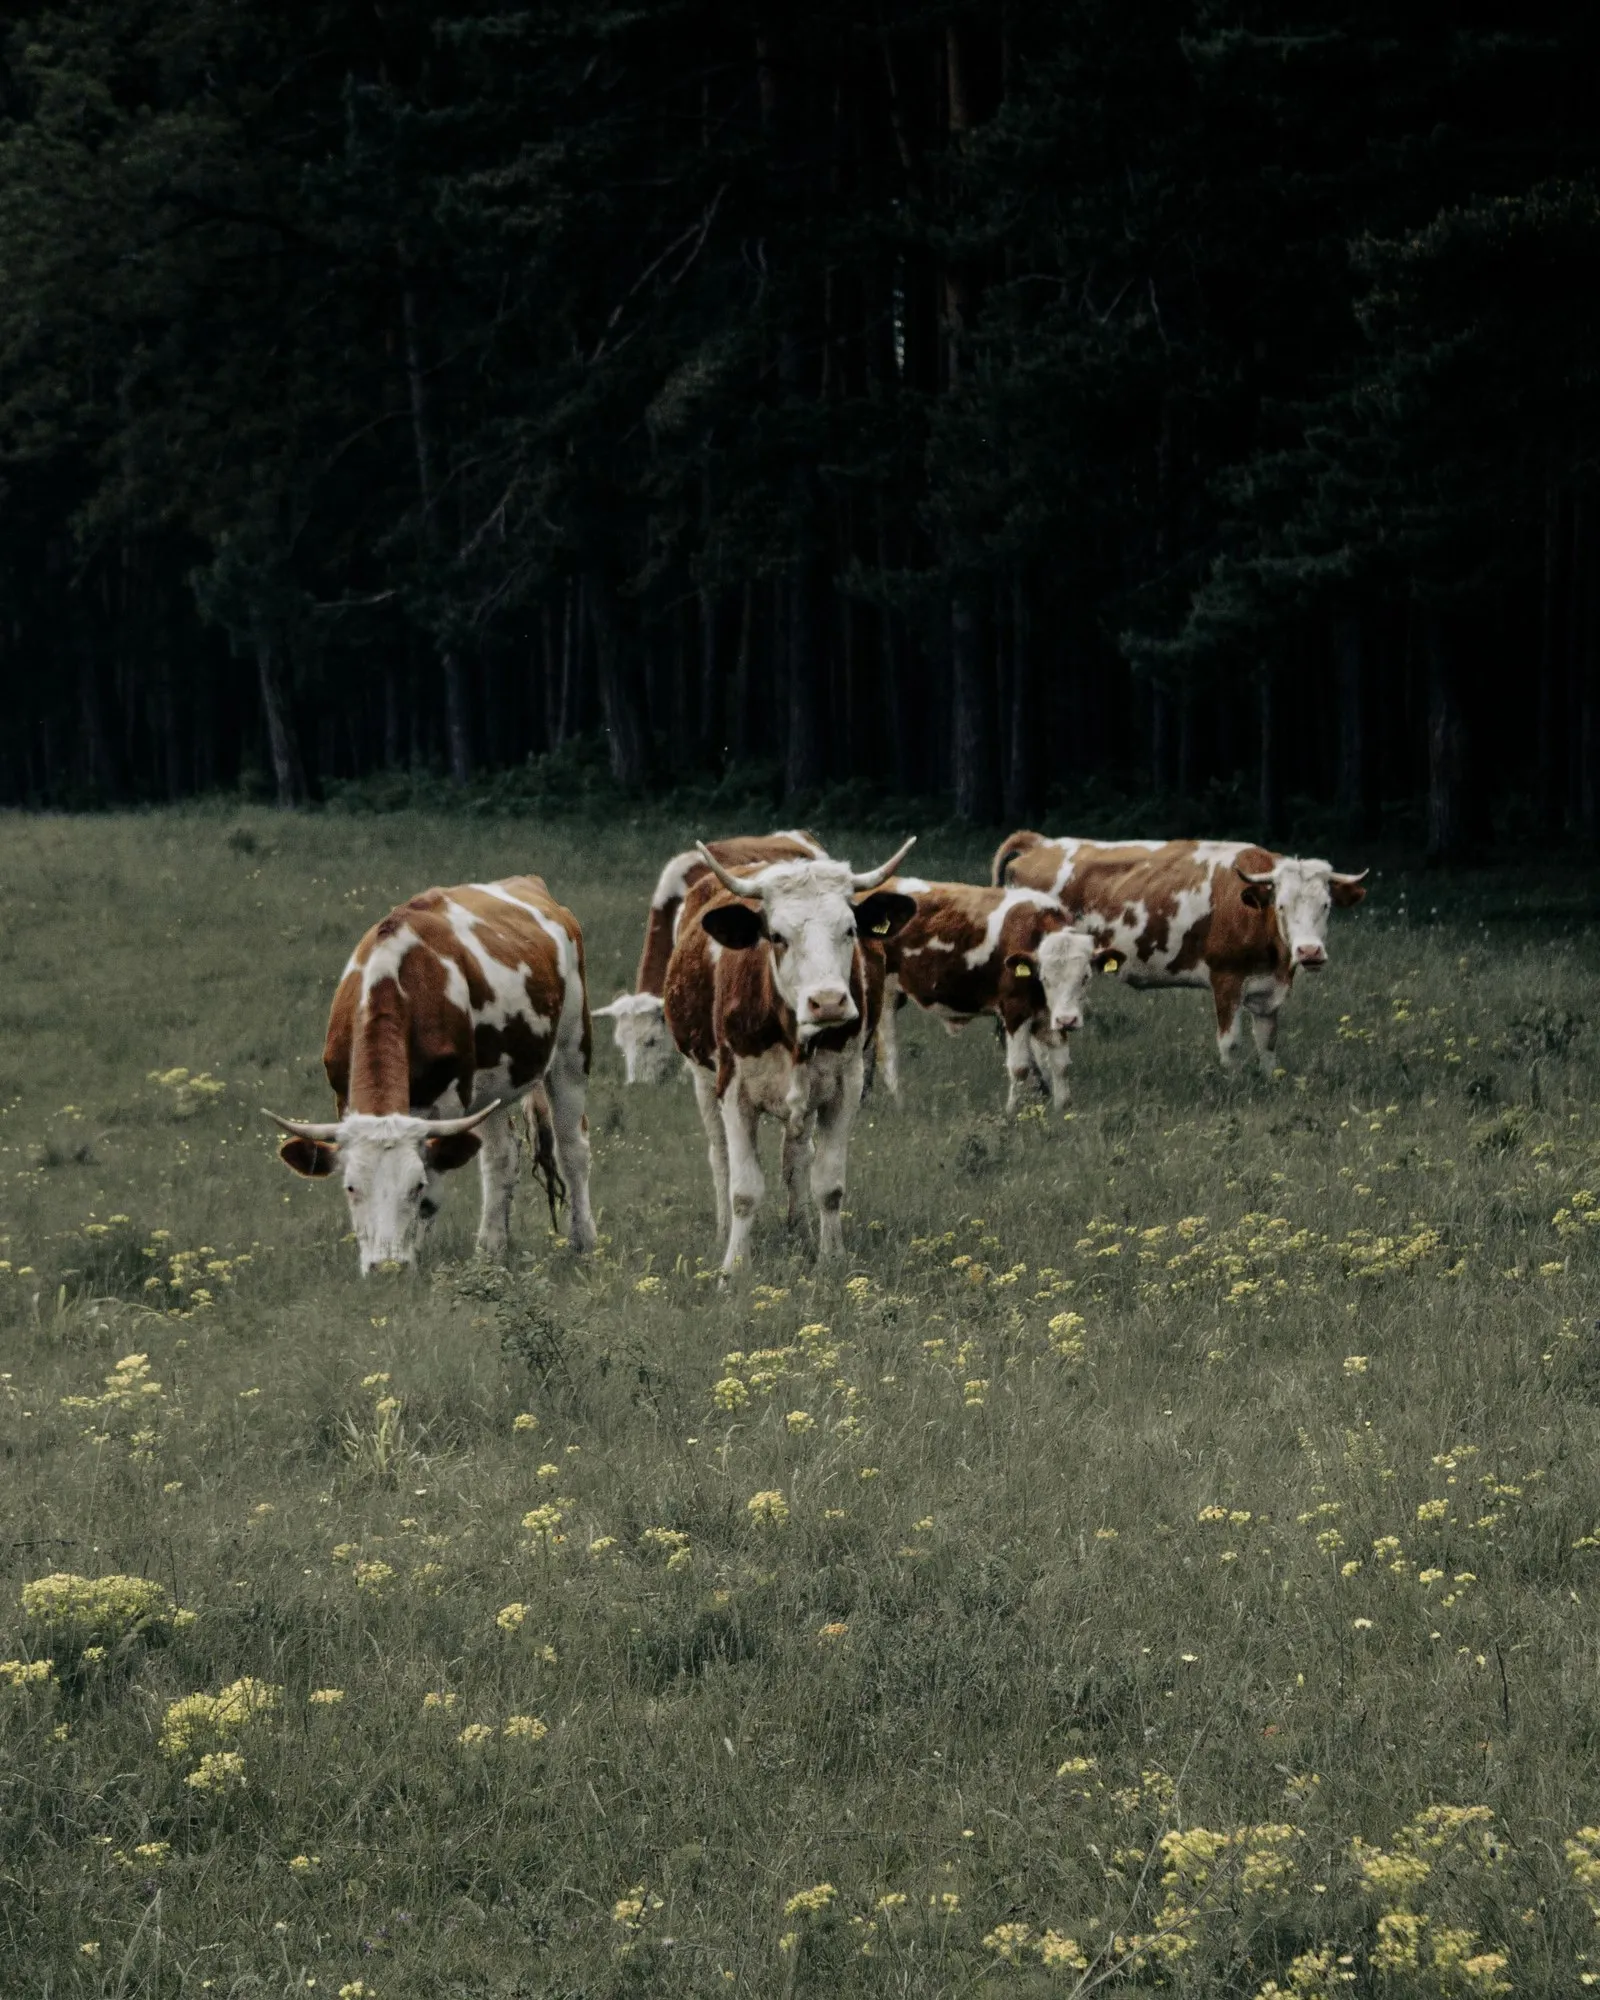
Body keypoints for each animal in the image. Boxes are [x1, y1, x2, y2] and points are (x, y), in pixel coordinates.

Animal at [267, 876, 597, 1271]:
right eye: (351, 1187)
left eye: (416, 1186)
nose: (385, 1267)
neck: (392, 981)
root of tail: (529, 883)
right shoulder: (345, 1098)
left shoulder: (447, 1106)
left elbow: (432, 1196)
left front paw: (417, 1260)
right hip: (490, 1088)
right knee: (501, 1156)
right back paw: (491, 1248)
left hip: (571, 1051)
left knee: (572, 1149)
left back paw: (583, 1241)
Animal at [662, 841, 916, 1271]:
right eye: (777, 936)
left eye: (849, 929)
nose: (828, 1001)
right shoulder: (734, 1090)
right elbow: (744, 1190)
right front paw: (733, 1267)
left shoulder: (845, 1085)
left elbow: (827, 1182)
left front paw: (831, 1257)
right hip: (702, 1078)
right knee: (720, 1156)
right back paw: (722, 1233)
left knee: (796, 1157)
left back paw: (799, 1229)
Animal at [878, 879, 1114, 1110]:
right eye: (1044, 977)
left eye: (1085, 977)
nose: (1068, 1020)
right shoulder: (1015, 1010)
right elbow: (1020, 1067)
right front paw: (1012, 1113)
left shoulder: (1049, 1015)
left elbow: (1061, 1064)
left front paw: (1063, 1109)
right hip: (884, 998)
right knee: (888, 1052)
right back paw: (899, 1103)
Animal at [991, 832, 1368, 1072]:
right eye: (1282, 905)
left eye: (1326, 905)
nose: (1309, 951)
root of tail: (1041, 843)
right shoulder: (1226, 979)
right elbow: (1230, 1042)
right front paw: (1234, 1084)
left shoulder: (1268, 989)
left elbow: (1268, 1042)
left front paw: (1270, 1080)